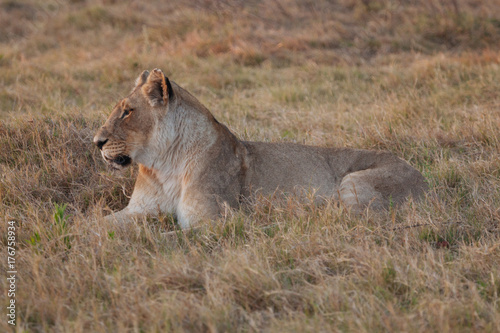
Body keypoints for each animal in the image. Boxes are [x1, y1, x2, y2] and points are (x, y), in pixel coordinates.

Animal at [95, 68, 428, 228]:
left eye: (127, 112)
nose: (96, 142)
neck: (165, 164)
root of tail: (426, 182)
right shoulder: (137, 210)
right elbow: (95, 226)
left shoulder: (215, 221)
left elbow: (171, 237)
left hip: (354, 182)